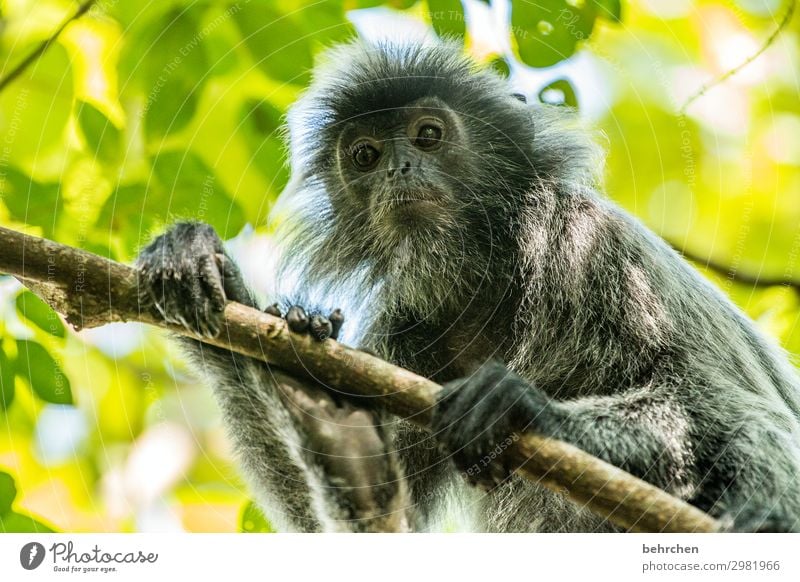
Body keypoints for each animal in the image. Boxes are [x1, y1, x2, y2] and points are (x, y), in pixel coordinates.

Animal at [136, 40, 800, 532]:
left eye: (428, 135)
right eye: (365, 155)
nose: (400, 169)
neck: (492, 280)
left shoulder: (592, 243)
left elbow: (718, 400)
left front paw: (521, 407)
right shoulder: (410, 331)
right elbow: (371, 515)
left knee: (754, 422)